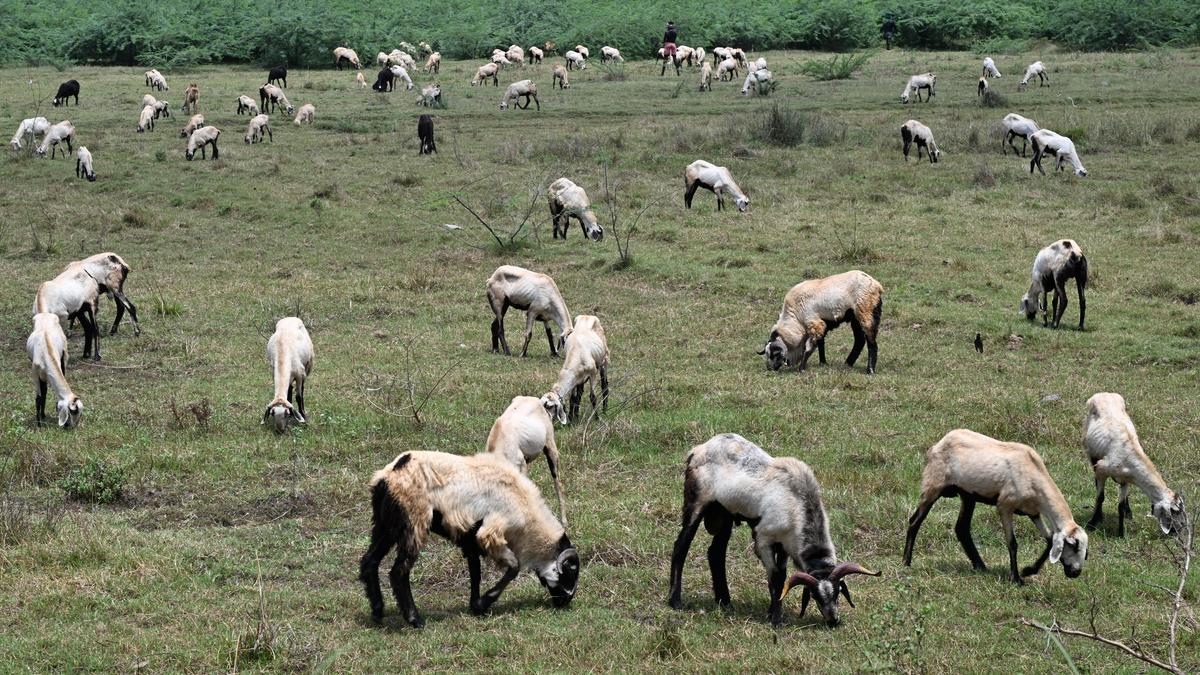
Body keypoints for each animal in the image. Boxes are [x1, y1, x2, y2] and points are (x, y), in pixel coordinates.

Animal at [358, 450, 580, 625]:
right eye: (570, 571)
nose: (564, 602)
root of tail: (390, 474)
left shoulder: (470, 540)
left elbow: (475, 572)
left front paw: (476, 606)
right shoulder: (490, 533)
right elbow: (514, 567)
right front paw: (485, 602)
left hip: (385, 525)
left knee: (370, 561)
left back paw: (378, 611)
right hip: (413, 523)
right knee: (398, 572)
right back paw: (414, 619)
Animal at [667, 433, 880, 626]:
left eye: (838, 592)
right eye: (814, 595)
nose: (833, 621)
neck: (800, 504)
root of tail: (698, 449)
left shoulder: (785, 544)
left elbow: (783, 576)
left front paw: (772, 612)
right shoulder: (764, 539)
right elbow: (776, 577)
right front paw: (776, 619)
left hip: (725, 513)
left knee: (716, 553)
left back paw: (725, 603)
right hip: (696, 503)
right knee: (681, 546)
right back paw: (675, 601)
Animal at [903, 429, 1090, 584]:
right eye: (1074, 546)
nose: (1076, 573)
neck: (1034, 474)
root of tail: (939, 443)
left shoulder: (1033, 512)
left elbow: (1049, 540)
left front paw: (1028, 570)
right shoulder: (1005, 505)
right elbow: (1012, 543)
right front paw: (1016, 579)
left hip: (968, 494)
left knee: (962, 528)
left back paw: (980, 566)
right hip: (933, 485)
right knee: (915, 521)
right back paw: (906, 561)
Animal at [1082, 393, 1185, 537]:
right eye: (1174, 511)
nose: (1177, 531)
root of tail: (1104, 394)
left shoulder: (1125, 480)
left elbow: (1120, 506)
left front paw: (1121, 533)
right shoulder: (1102, 470)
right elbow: (1100, 497)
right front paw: (1093, 522)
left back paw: (1128, 513)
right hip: (1092, 454)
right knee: (1096, 483)